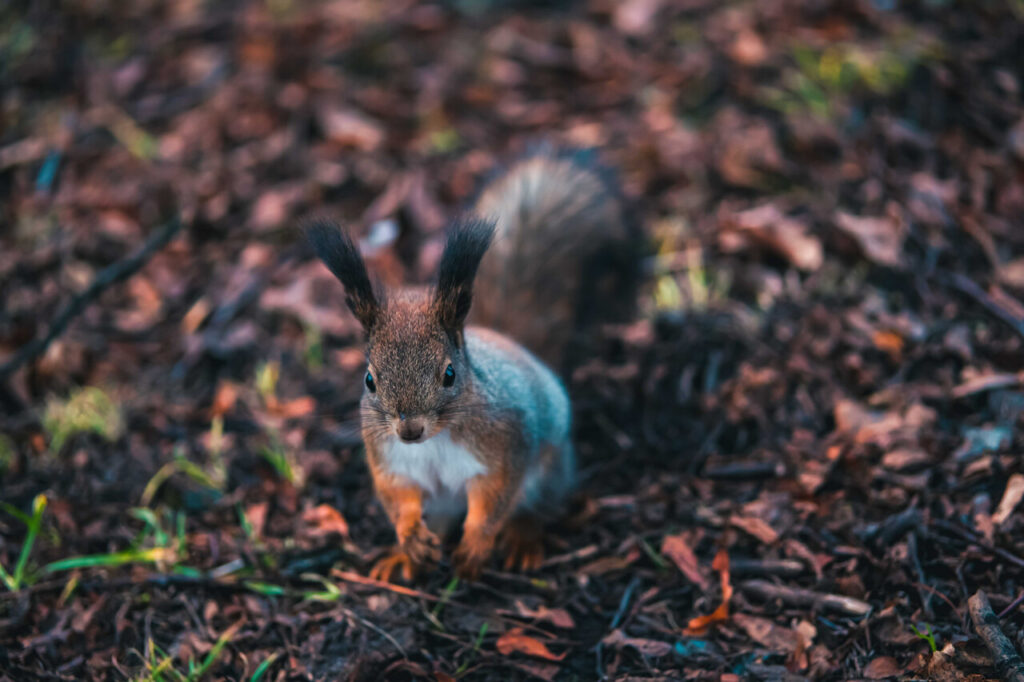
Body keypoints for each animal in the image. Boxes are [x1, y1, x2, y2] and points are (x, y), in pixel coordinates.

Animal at [308, 146, 635, 581]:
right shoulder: (391, 461)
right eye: (369, 380)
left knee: (535, 507)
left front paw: (476, 546)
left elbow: (493, 499)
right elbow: (400, 498)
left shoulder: (504, 447)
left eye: (449, 374)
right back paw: (406, 555)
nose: (409, 431)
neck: (435, 440)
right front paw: (409, 536)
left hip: (550, 472)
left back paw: (522, 538)